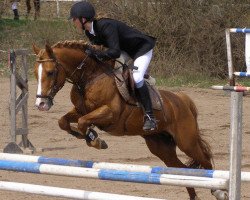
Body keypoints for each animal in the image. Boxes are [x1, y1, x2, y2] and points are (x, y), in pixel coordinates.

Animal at [32, 41, 227, 200]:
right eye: (35, 73)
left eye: (50, 72)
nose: (40, 104)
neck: (89, 78)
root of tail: (182, 99)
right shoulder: (79, 111)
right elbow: (64, 121)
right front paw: (87, 136)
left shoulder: (110, 114)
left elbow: (82, 122)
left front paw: (95, 140)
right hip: (161, 146)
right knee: (180, 171)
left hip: (186, 141)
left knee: (205, 162)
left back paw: (220, 191)